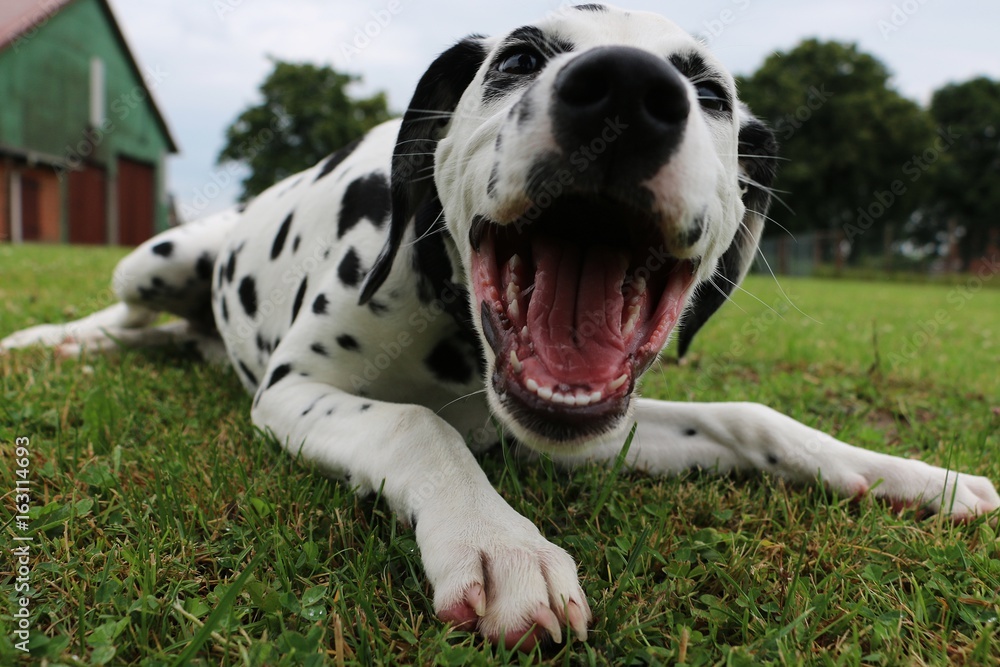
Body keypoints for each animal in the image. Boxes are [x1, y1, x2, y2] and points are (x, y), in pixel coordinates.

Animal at [3, 3, 996, 652]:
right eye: (519, 57)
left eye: (708, 89)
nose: (628, 91)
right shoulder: (297, 390)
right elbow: (418, 424)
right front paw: (500, 542)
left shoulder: (592, 429)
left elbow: (751, 417)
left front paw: (912, 474)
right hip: (157, 257)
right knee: (129, 315)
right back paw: (54, 341)